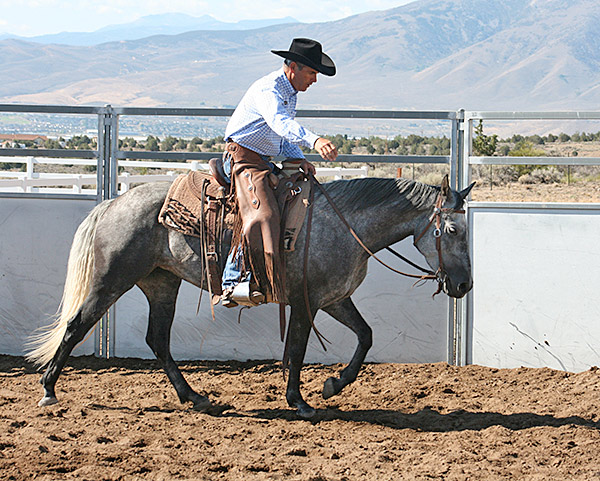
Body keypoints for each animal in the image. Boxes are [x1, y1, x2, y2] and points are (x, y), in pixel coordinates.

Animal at [27, 172, 474, 416]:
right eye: (453, 229)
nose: (465, 285)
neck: (343, 225)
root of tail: (115, 201)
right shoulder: (305, 303)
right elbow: (297, 350)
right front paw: (300, 401)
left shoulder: (334, 299)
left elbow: (365, 337)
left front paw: (333, 385)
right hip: (111, 279)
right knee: (76, 326)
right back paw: (48, 390)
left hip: (161, 284)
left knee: (158, 340)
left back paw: (195, 397)